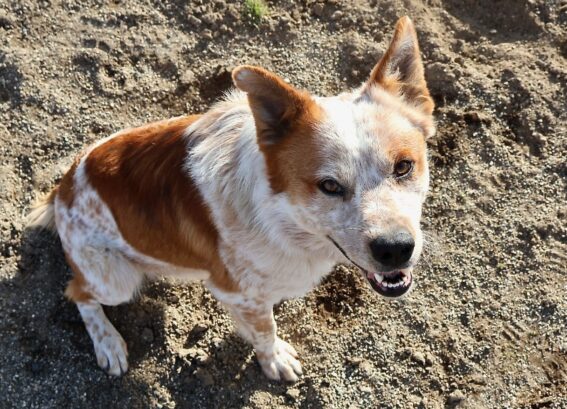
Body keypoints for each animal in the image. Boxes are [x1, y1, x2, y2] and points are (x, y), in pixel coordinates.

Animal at [27, 16, 434, 381]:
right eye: (330, 186)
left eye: (403, 167)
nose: (395, 249)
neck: (279, 216)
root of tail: (63, 189)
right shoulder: (235, 291)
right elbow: (266, 331)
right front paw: (275, 361)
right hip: (115, 278)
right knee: (77, 293)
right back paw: (108, 344)